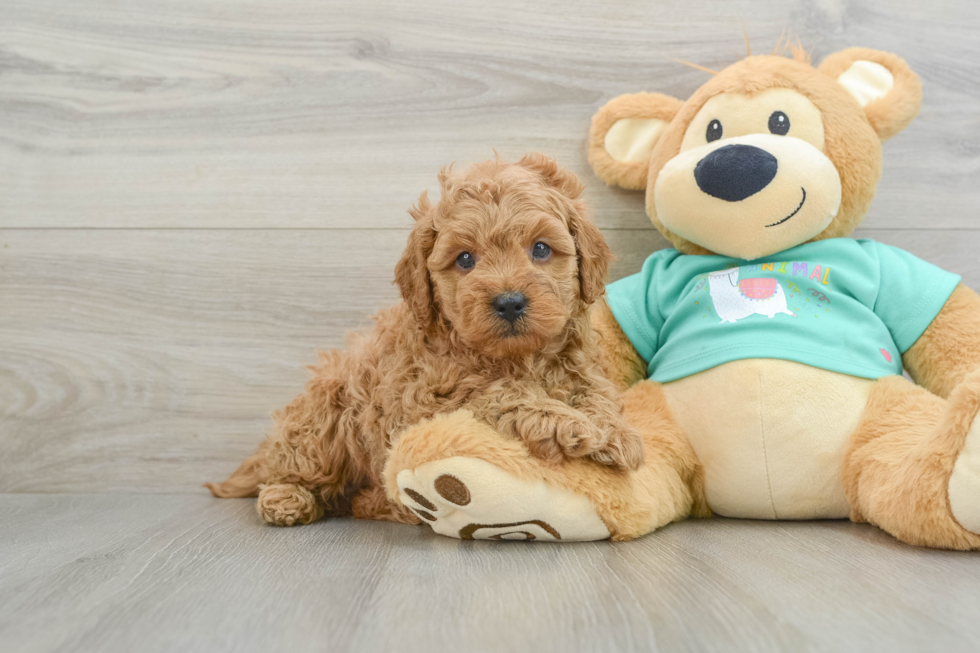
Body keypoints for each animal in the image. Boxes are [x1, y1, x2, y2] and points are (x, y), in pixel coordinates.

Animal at [209, 155, 644, 528]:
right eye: (465, 259)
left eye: (540, 249)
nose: (508, 302)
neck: (515, 357)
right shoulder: (426, 398)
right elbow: (501, 391)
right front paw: (563, 423)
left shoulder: (579, 366)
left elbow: (595, 392)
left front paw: (616, 432)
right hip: (324, 418)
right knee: (294, 469)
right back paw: (287, 499)